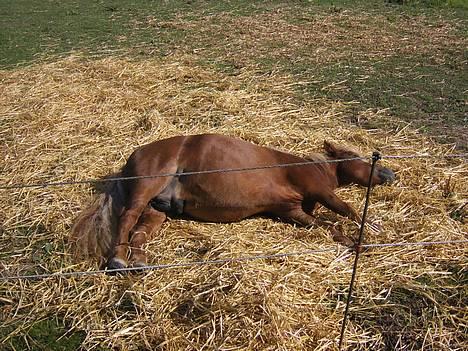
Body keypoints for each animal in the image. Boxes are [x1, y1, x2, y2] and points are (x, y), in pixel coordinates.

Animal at [72, 134, 394, 270]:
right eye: (358, 157)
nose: (389, 173)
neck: (307, 166)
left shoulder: (292, 211)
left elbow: (327, 227)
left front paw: (355, 242)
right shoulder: (321, 192)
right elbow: (347, 211)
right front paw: (372, 230)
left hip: (156, 209)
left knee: (139, 231)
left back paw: (138, 261)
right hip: (146, 188)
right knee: (127, 218)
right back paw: (117, 259)